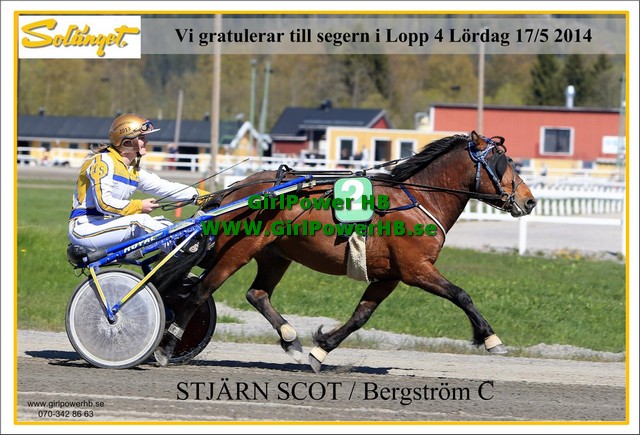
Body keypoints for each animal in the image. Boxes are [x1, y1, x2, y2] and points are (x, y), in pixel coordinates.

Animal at [153, 131, 537, 372]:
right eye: (503, 162)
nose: (529, 200)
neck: (420, 199)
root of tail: (235, 190)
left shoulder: (389, 276)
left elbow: (360, 316)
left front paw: (320, 349)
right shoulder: (416, 269)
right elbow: (461, 294)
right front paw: (490, 338)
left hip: (275, 254)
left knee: (256, 293)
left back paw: (291, 340)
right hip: (240, 250)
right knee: (200, 291)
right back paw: (167, 347)